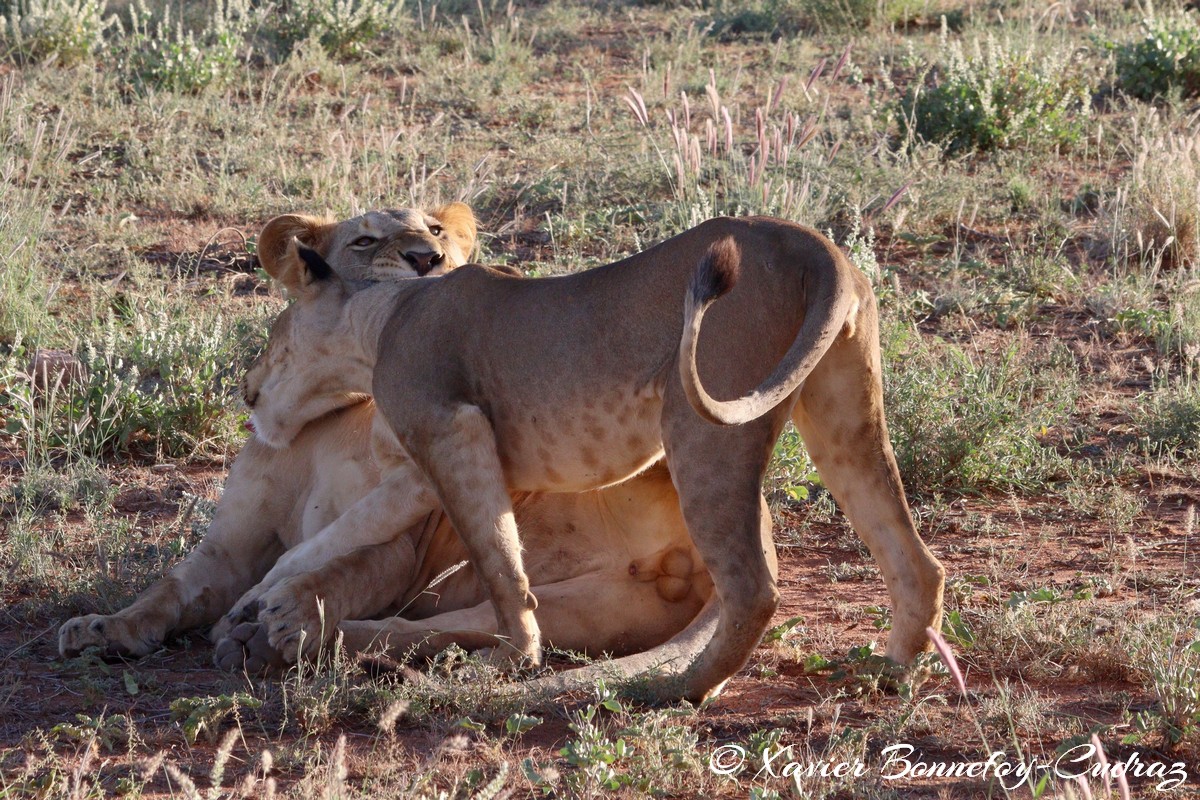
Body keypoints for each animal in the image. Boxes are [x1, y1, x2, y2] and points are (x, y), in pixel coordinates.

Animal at [57, 205, 768, 673]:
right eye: (365, 238)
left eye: (436, 233)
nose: (430, 260)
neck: (318, 427)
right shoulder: (228, 550)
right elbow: (170, 589)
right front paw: (103, 628)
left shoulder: (404, 536)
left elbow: (336, 566)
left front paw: (284, 608)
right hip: (589, 604)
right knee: (468, 628)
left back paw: (269, 638)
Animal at [238, 216, 946, 703]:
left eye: (270, 341)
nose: (246, 388)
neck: (385, 318)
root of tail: (815, 246)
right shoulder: (426, 467)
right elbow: (353, 531)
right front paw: (264, 593)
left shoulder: (451, 430)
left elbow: (497, 560)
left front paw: (513, 661)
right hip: (843, 409)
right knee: (914, 558)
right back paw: (888, 673)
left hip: (704, 419)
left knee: (755, 588)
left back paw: (676, 691)